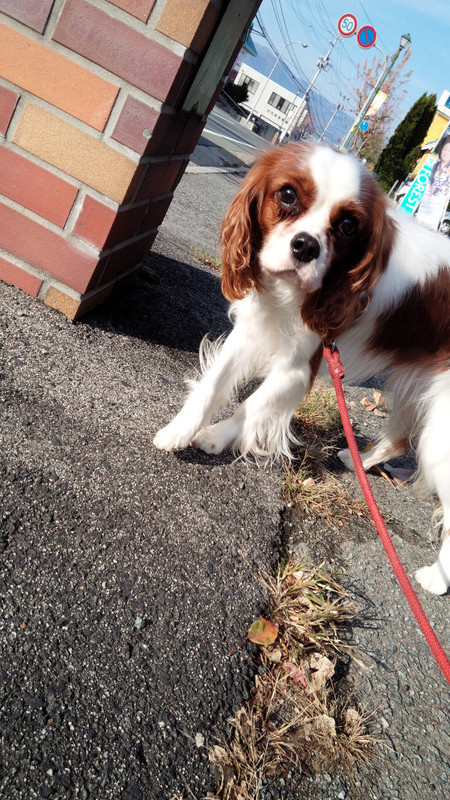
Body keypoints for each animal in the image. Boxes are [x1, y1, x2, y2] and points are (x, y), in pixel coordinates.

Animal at [154, 142, 450, 596]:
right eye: (288, 195)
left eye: (347, 225)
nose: (306, 246)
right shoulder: (251, 333)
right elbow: (213, 386)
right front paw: (179, 430)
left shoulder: (299, 367)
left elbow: (252, 406)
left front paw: (216, 438)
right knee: (400, 438)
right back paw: (359, 459)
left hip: (441, 432)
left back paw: (436, 577)